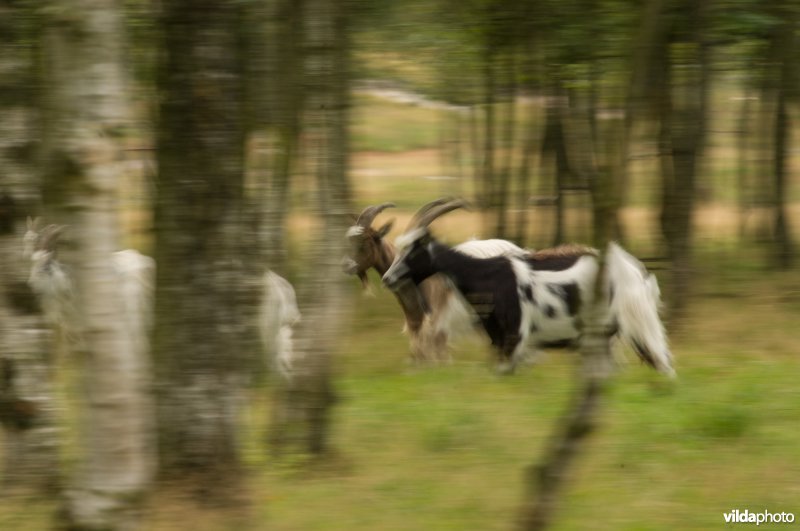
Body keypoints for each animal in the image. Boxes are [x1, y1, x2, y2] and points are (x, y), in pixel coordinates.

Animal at [382, 197, 676, 376]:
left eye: (413, 250)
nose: (387, 278)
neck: (487, 273)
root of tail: (634, 270)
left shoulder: (516, 335)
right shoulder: (497, 337)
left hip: (635, 322)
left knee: (661, 360)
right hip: (604, 335)